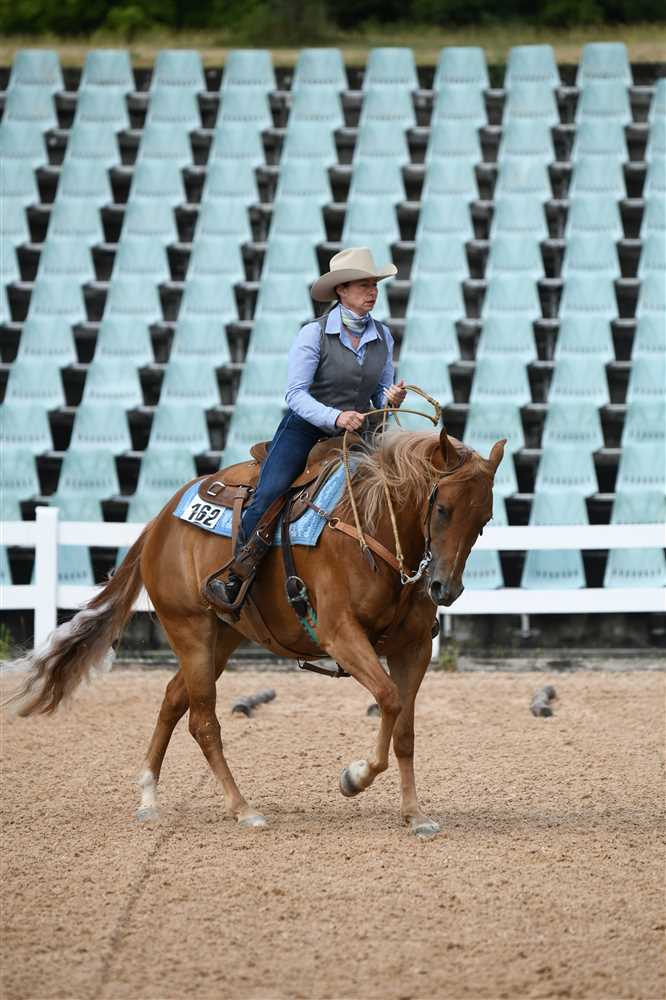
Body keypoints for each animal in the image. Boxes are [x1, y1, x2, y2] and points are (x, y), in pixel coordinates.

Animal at [9, 428, 505, 838]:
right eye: (442, 510)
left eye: (483, 520)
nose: (445, 588)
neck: (372, 527)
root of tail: (161, 520)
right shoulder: (341, 635)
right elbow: (388, 699)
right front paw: (354, 778)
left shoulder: (413, 648)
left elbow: (404, 728)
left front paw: (415, 815)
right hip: (189, 628)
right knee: (203, 721)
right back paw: (242, 808)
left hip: (222, 638)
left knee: (173, 700)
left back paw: (149, 796)